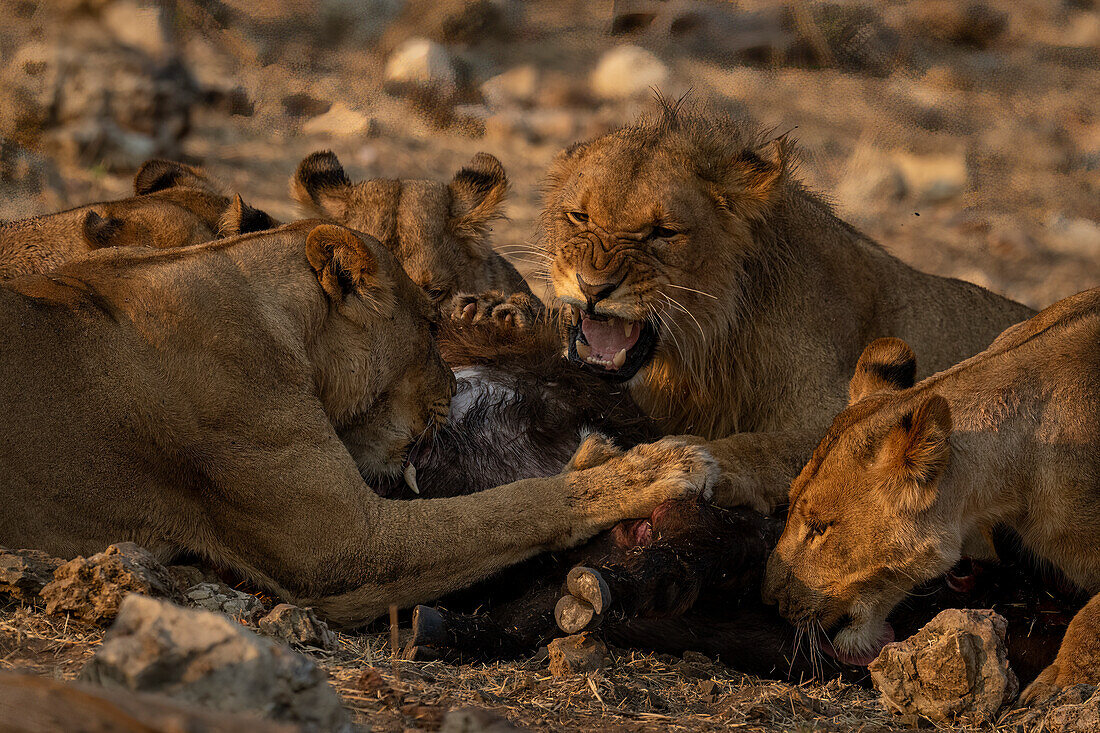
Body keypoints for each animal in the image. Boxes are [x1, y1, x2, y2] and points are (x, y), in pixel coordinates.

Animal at [536, 105, 1034, 508]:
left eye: (664, 232)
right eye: (579, 217)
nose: (593, 287)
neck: (707, 350)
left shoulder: (845, 401)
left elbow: (755, 447)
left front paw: (651, 467)